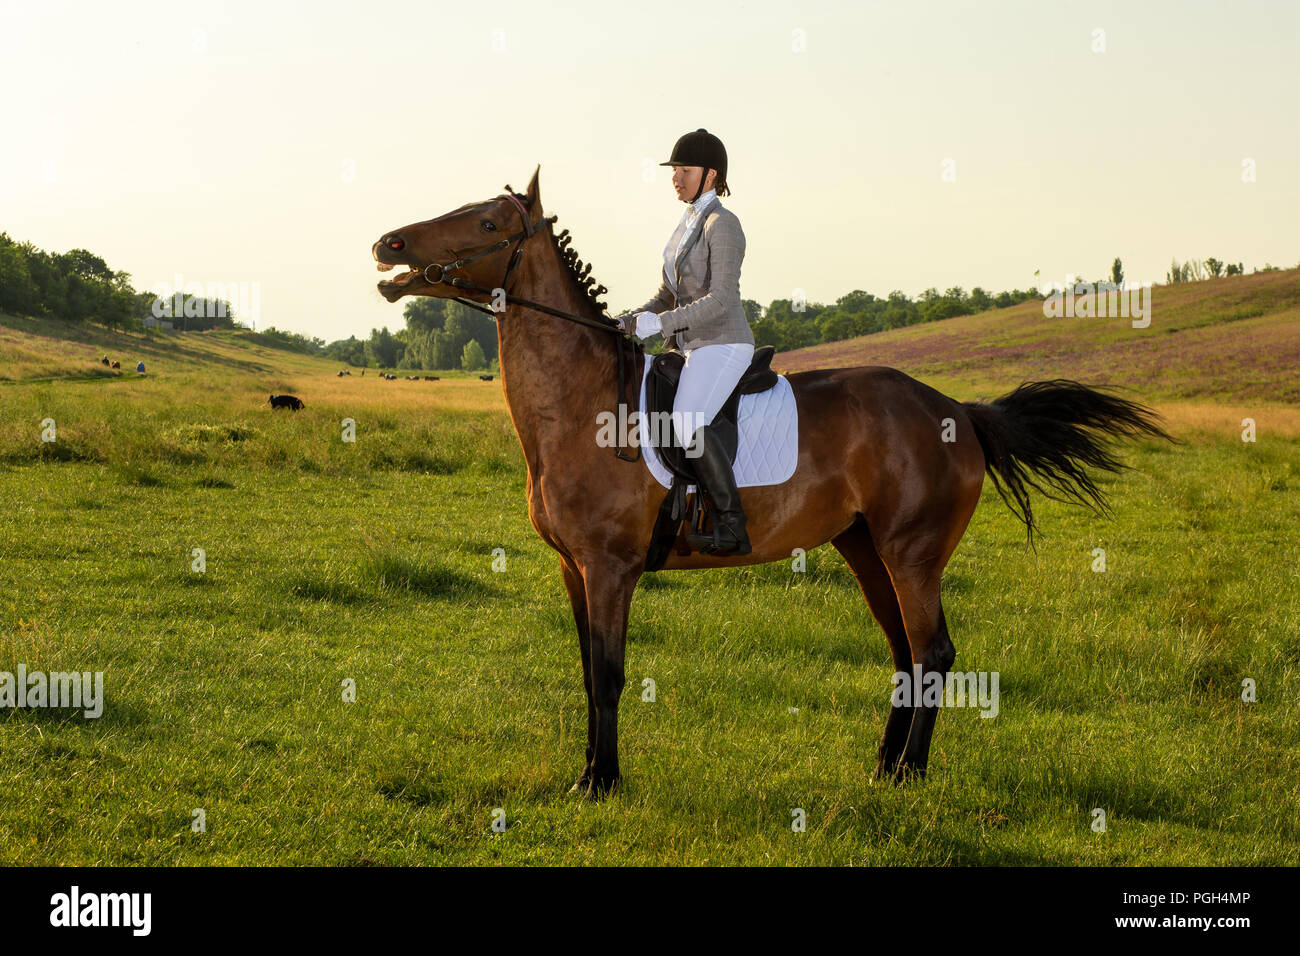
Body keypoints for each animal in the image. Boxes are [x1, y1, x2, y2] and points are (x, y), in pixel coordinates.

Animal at [371, 167, 1173, 797]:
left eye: (487, 222)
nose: (389, 245)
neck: (581, 404)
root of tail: (957, 411)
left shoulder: (609, 568)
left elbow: (609, 673)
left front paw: (601, 783)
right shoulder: (574, 569)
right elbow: (588, 671)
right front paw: (592, 773)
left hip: (912, 553)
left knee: (933, 652)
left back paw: (911, 776)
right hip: (865, 549)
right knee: (905, 653)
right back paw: (882, 769)